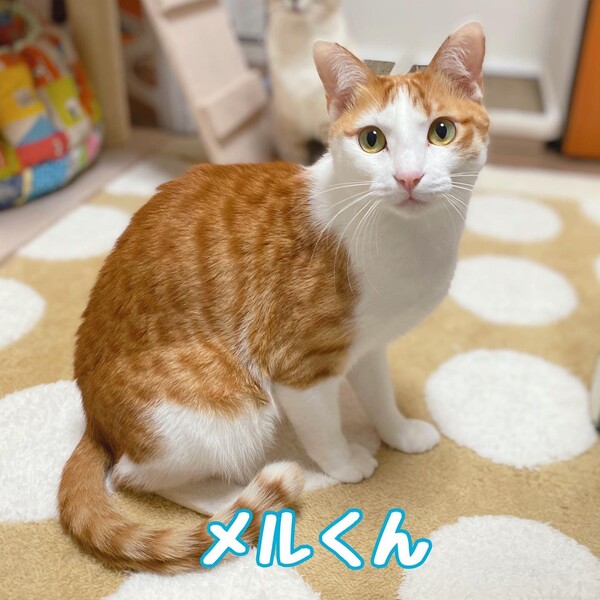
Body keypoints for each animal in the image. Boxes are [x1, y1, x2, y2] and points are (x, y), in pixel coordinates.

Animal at [59, 22, 489, 573]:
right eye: (373, 140)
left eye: (441, 131)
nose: (409, 177)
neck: (410, 242)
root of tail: (94, 421)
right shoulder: (299, 367)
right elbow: (324, 429)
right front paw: (346, 463)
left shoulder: (368, 346)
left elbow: (380, 395)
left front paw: (400, 433)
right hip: (230, 409)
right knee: (136, 477)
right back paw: (231, 513)